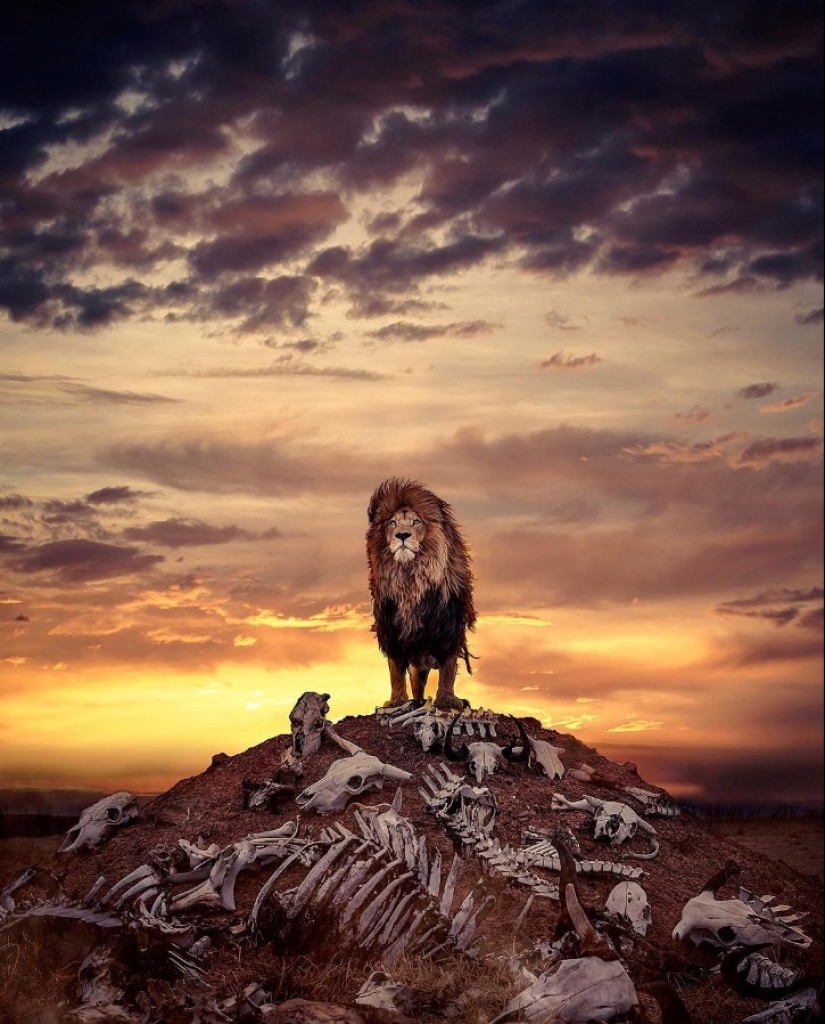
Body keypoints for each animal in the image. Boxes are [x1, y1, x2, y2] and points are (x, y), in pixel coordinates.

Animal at [366, 478, 476, 710]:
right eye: (392, 523)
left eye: (416, 522)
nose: (402, 535)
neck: (411, 576)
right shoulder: (391, 629)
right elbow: (396, 670)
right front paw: (397, 700)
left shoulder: (450, 627)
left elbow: (448, 669)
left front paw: (447, 699)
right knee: (416, 680)